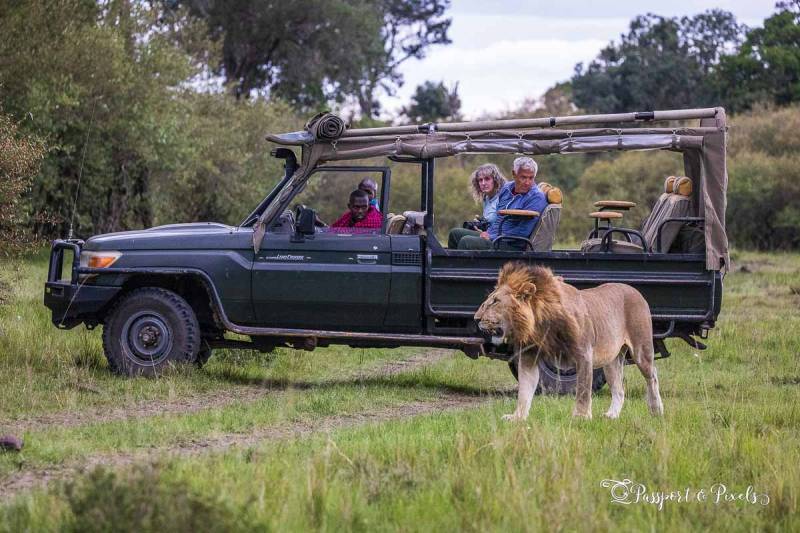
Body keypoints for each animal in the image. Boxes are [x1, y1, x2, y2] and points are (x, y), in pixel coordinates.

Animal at [476, 262, 664, 420]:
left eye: (495, 302)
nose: (476, 318)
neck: (541, 325)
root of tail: (635, 290)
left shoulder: (584, 355)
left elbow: (583, 389)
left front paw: (580, 417)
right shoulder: (529, 356)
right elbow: (524, 390)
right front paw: (517, 417)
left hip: (641, 350)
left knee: (653, 375)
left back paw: (656, 410)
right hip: (611, 361)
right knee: (619, 389)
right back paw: (612, 415)